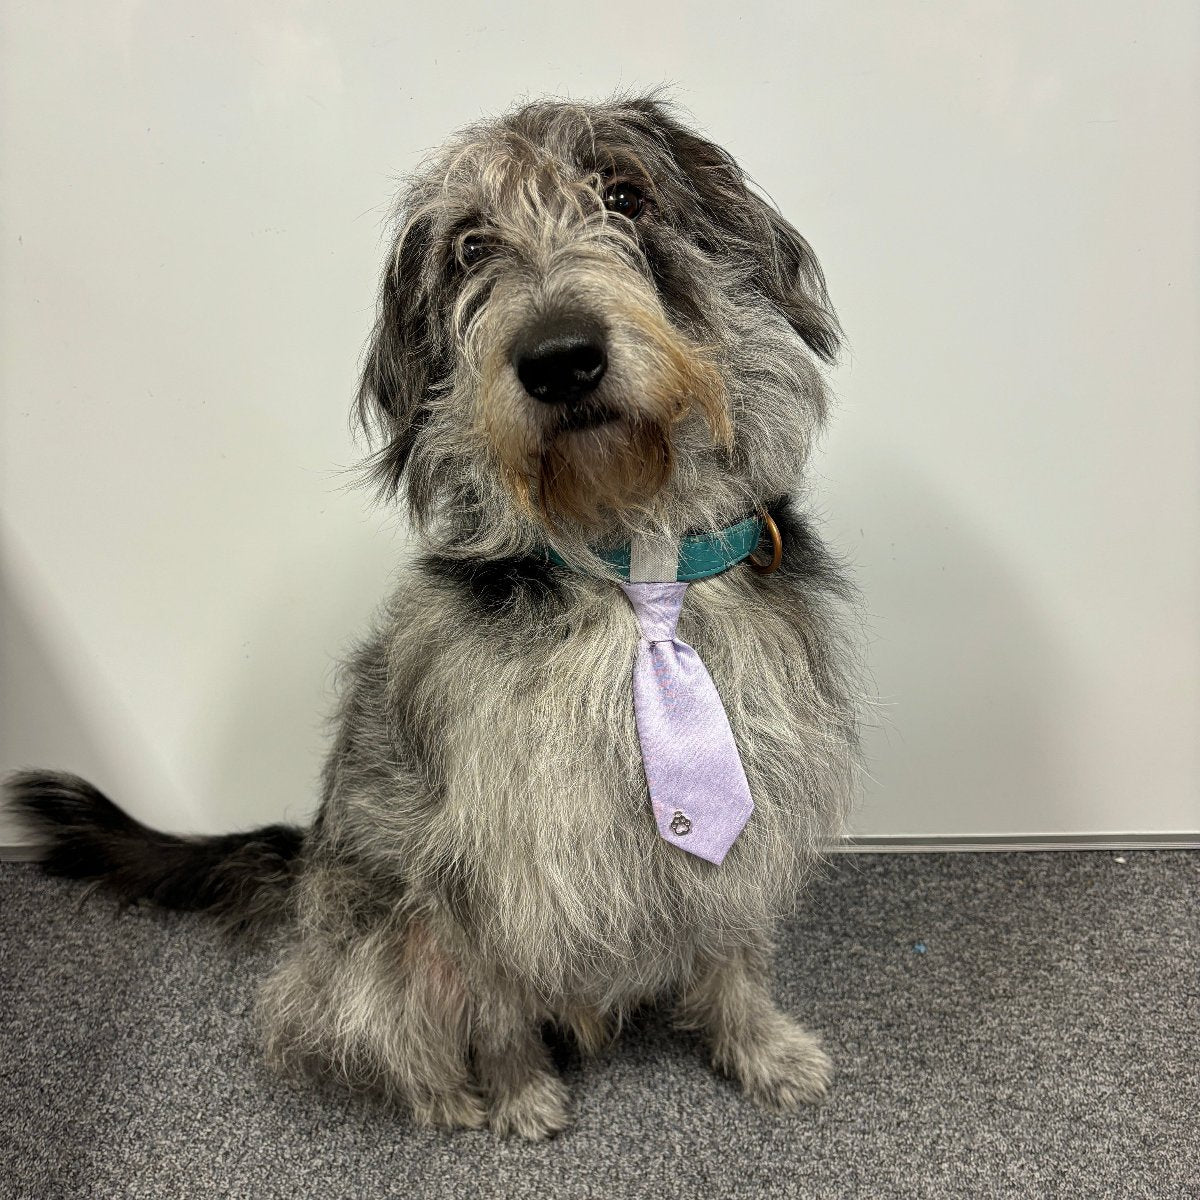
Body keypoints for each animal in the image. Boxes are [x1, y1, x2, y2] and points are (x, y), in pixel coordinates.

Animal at [2, 91, 864, 1132]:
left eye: (625, 193)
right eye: (469, 247)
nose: (559, 359)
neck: (629, 549)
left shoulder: (758, 788)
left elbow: (733, 942)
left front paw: (759, 1046)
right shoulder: (478, 842)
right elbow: (490, 991)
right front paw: (516, 1090)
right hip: (373, 932)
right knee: (365, 1013)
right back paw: (445, 1091)